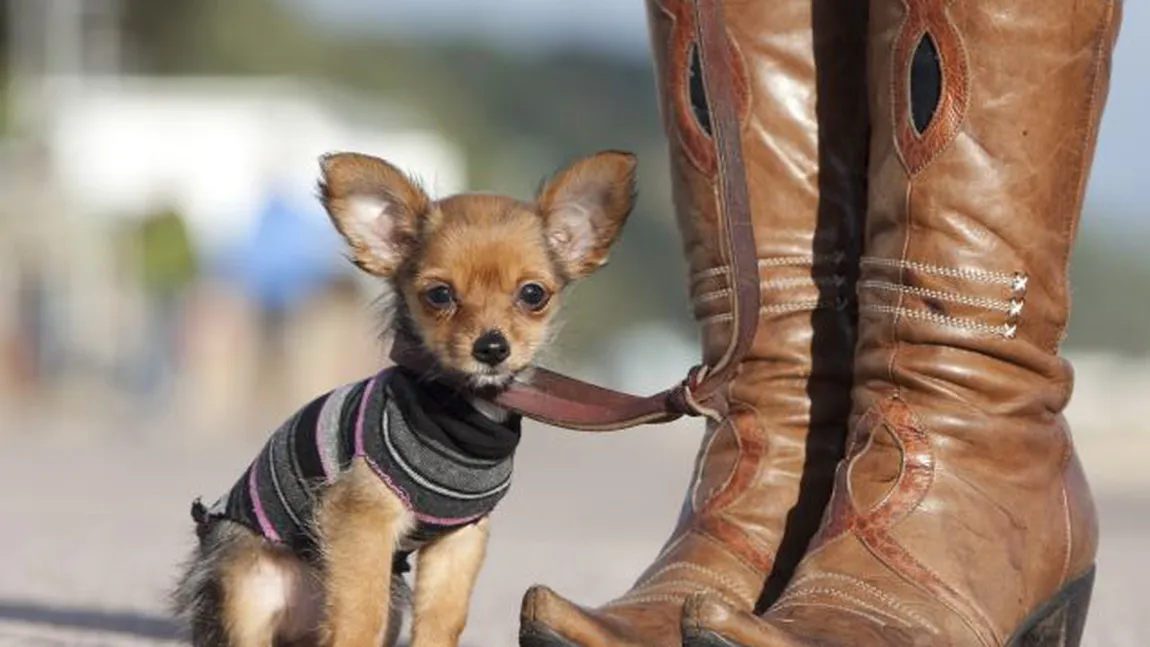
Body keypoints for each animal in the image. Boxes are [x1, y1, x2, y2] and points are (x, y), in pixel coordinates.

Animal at [170, 150, 639, 647]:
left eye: (533, 294)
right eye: (439, 294)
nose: (491, 347)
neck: (463, 409)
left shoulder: (460, 537)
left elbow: (442, 618)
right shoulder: (361, 520)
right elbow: (360, 614)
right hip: (248, 588)